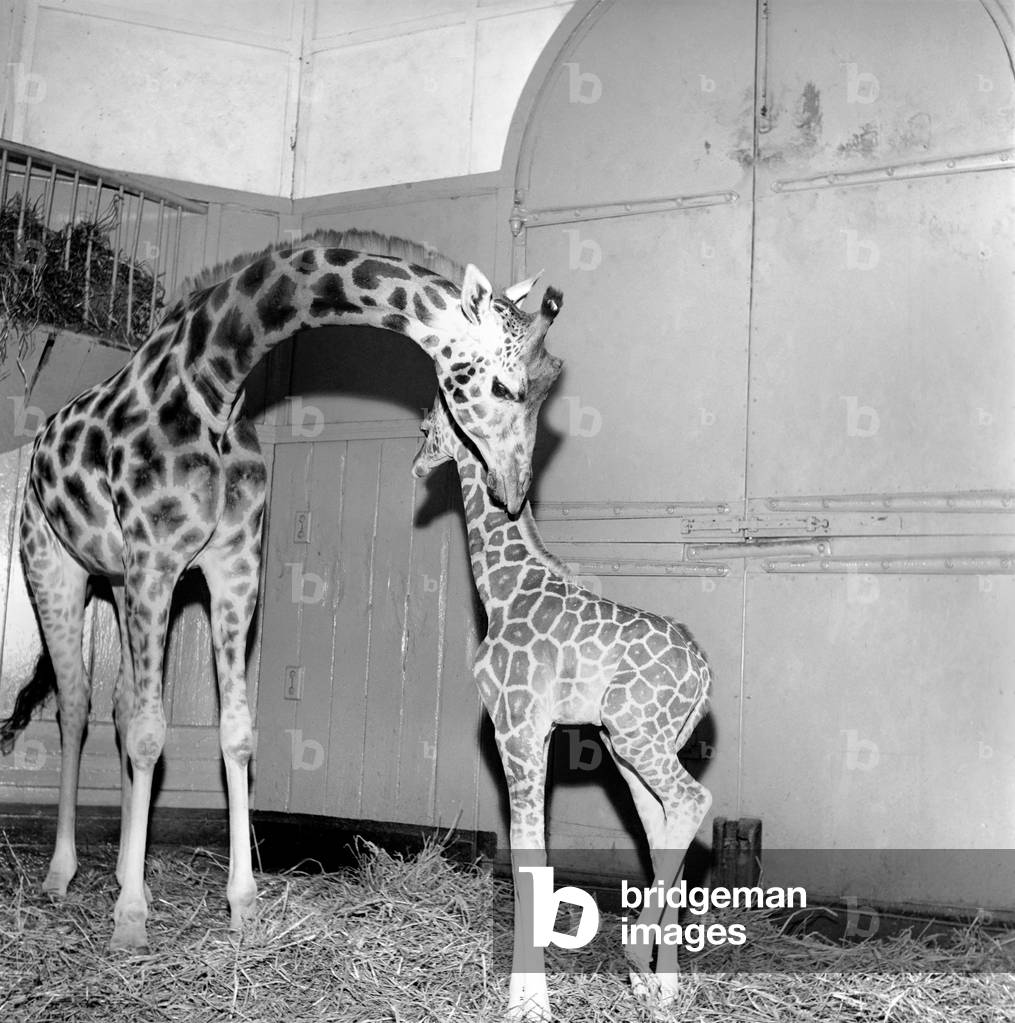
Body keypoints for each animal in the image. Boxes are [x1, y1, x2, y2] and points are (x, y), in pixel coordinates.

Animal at [0, 231, 564, 952]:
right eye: (501, 383)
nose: (512, 491)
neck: (216, 384)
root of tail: (42, 440)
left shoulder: (232, 566)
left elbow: (234, 733)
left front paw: (242, 903)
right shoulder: (157, 559)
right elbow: (152, 732)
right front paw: (129, 916)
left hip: (121, 585)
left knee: (121, 706)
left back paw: (122, 871)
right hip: (56, 567)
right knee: (75, 707)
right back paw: (62, 873)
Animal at [412, 394, 712, 1021]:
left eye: (428, 428)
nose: (416, 465)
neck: (502, 588)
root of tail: (705, 673)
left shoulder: (515, 728)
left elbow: (529, 857)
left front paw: (527, 1006)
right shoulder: (541, 733)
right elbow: (538, 857)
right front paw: (530, 998)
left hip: (634, 734)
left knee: (695, 801)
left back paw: (637, 956)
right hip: (632, 751)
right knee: (666, 831)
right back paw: (660, 990)